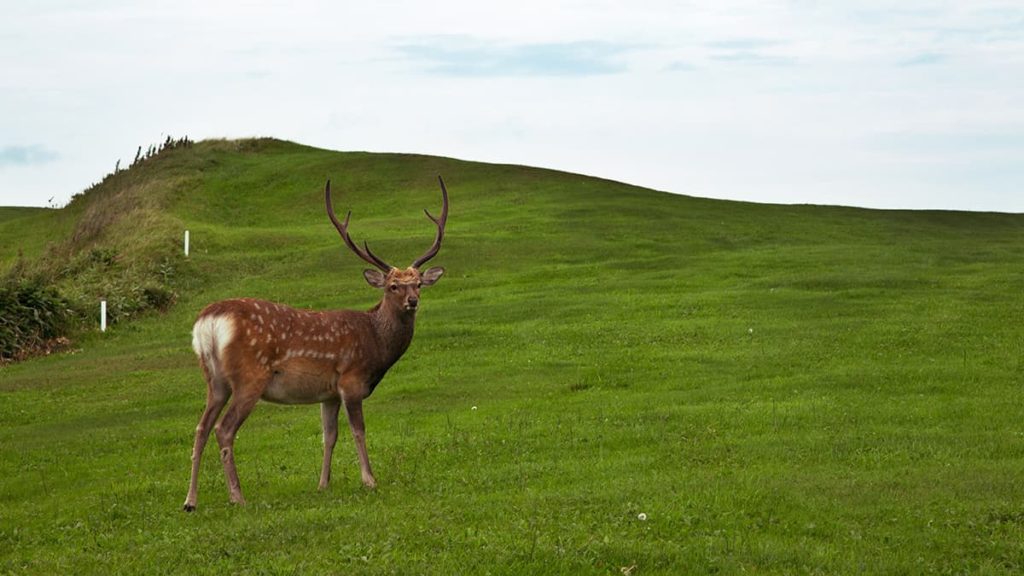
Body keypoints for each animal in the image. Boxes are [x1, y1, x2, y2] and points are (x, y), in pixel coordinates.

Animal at [182, 177, 448, 511]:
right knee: (224, 428)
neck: (375, 342)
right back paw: (237, 496)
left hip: (214, 378)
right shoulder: (350, 380)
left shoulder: (328, 393)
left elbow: (329, 435)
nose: (413, 301)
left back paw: (190, 501)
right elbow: (358, 430)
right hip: (249, 376)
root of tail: (208, 321)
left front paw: (323, 484)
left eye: (418, 283)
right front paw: (370, 480)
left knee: (201, 427)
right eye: (393, 286)